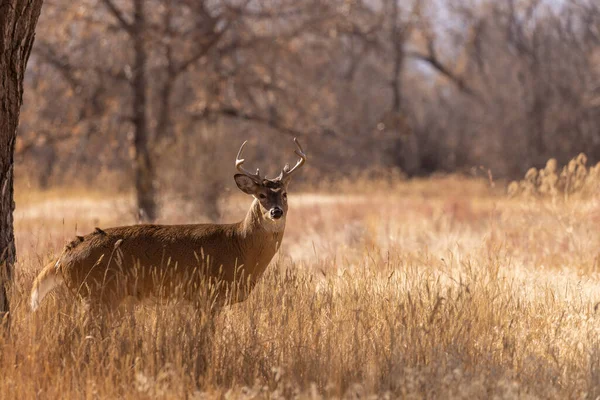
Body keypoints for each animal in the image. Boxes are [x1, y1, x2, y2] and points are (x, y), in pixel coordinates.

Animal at [29, 139, 308, 314]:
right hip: (96, 294)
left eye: (284, 194)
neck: (240, 244)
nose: (276, 211)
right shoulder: (207, 294)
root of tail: (62, 258)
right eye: (260, 195)